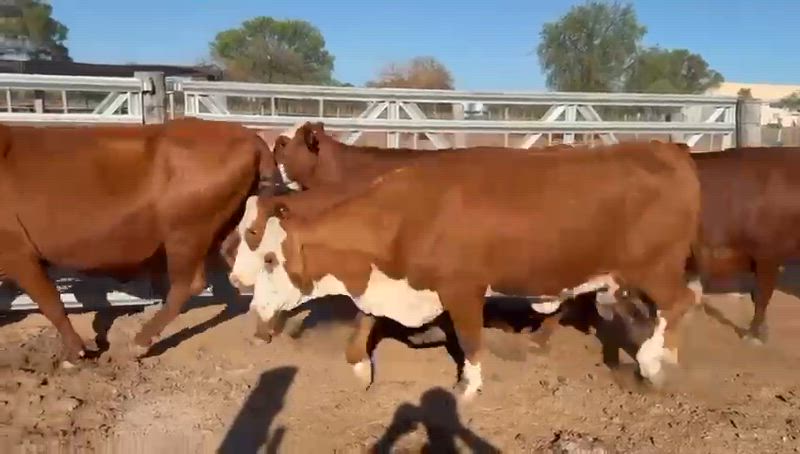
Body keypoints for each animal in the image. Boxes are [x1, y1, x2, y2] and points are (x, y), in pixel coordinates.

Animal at [0, 117, 282, 364]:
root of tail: (250, 135)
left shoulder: (17, 252)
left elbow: (51, 302)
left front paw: (74, 352)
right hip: (224, 230)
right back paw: (263, 330)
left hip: (186, 233)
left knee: (186, 285)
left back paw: (139, 342)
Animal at [238, 142, 700, 398]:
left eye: (268, 257)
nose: (250, 301)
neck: (410, 214)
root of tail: (664, 149)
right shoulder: (389, 283)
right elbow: (362, 326)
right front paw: (359, 371)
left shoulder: (462, 290)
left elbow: (470, 341)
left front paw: (468, 388)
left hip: (653, 268)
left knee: (680, 303)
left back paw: (652, 363)